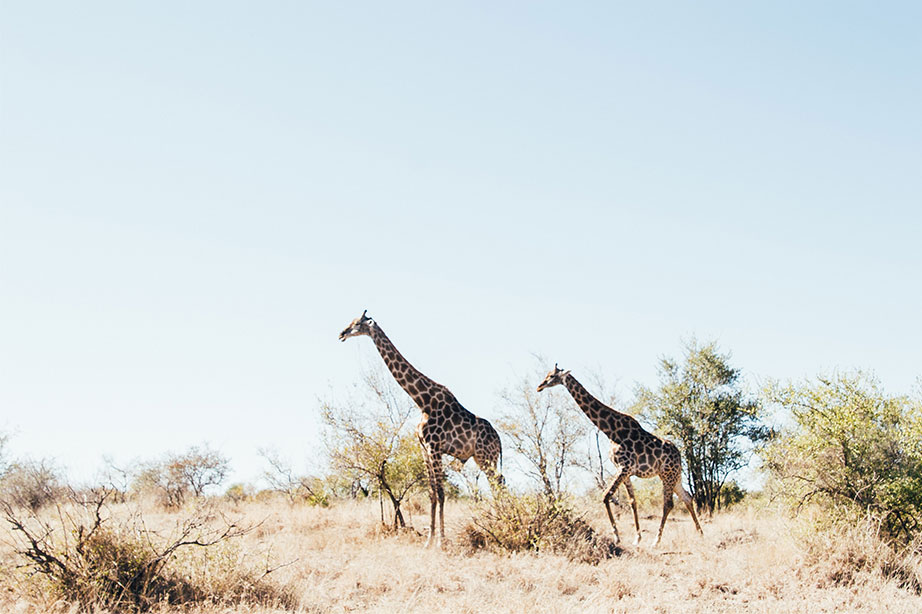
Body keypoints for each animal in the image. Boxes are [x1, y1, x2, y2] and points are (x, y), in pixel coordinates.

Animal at [536, 364, 700, 548]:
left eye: (551, 376)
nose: (539, 386)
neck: (610, 431)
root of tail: (679, 455)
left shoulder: (624, 467)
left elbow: (606, 496)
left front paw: (617, 537)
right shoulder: (625, 471)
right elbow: (632, 501)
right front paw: (637, 538)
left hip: (667, 475)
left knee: (669, 504)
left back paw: (656, 541)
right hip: (674, 475)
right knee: (687, 497)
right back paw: (700, 533)